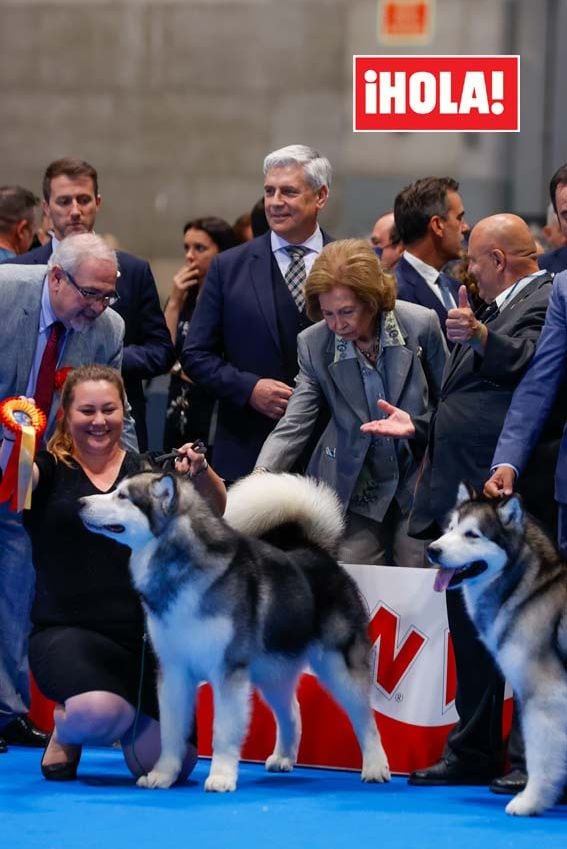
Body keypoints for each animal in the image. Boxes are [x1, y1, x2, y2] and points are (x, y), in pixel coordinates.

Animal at [79, 470, 390, 788]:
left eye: (122, 496)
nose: (80, 502)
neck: (181, 570)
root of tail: (317, 552)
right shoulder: (174, 671)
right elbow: (171, 733)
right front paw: (163, 775)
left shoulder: (228, 670)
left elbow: (223, 732)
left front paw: (221, 777)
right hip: (272, 669)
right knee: (291, 710)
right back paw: (284, 757)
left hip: (338, 666)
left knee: (365, 719)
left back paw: (375, 767)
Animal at [428, 484, 567, 816]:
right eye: (450, 529)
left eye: (472, 534)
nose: (432, 550)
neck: (530, 590)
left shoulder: (545, 692)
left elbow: (541, 756)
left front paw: (531, 800)